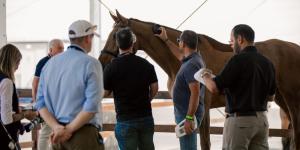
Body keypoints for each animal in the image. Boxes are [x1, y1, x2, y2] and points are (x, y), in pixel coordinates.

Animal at [99, 10, 300, 150]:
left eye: (115, 36)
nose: (101, 63)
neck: (180, 61)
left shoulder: (201, 108)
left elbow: (204, 143)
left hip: (292, 101)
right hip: (281, 99)